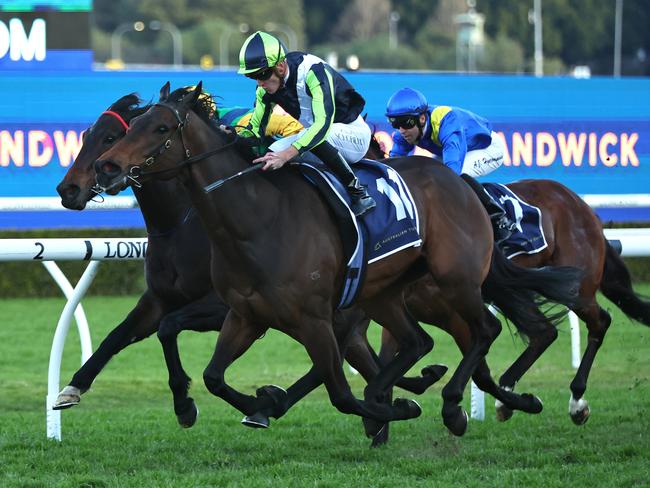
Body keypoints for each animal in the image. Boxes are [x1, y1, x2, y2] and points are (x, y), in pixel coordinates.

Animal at [92, 82, 584, 436]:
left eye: (159, 129)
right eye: (131, 126)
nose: (106, 166)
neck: (256, 220)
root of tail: (460, 182)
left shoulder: (313, 319)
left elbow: (341, 395)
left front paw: (391, 408)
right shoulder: (246, 314)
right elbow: (214, 376)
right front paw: (261, 403)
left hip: (455, 281)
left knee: (484, 330)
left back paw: (450, 404)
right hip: (384, 293)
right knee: (418, 342)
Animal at [364, 135, 648, 426]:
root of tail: (581, 206)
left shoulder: (453, 312)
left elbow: (479, 371)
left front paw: (452, 408)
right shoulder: (397, 306)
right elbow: (382, 360)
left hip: (576, 285)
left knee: (599, 322)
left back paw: (576, 401)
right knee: (544, 332)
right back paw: (510, 392)